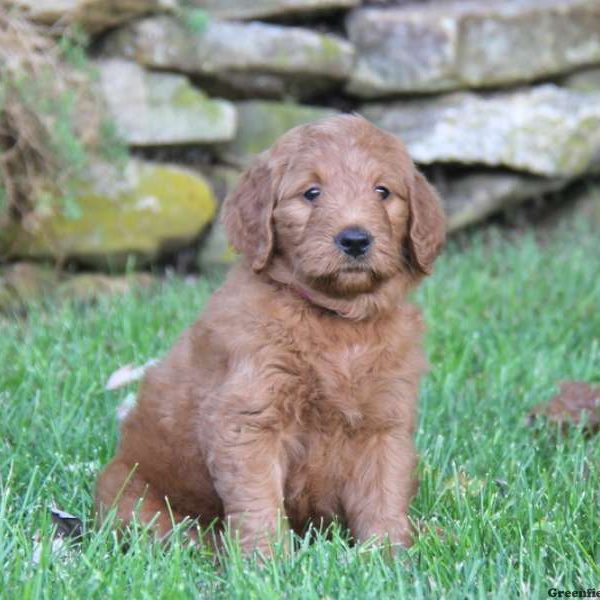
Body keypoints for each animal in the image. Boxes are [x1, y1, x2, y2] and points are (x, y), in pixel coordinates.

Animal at [96, 112, 446, 552]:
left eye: (383, 191)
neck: (337, 321)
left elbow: (384, 496)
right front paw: (267, 561)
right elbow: (258, 502)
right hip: (131, 496)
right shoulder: (249, 419)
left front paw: (389, 555)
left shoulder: (385, 423)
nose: (354, 239)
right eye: (311, 193)